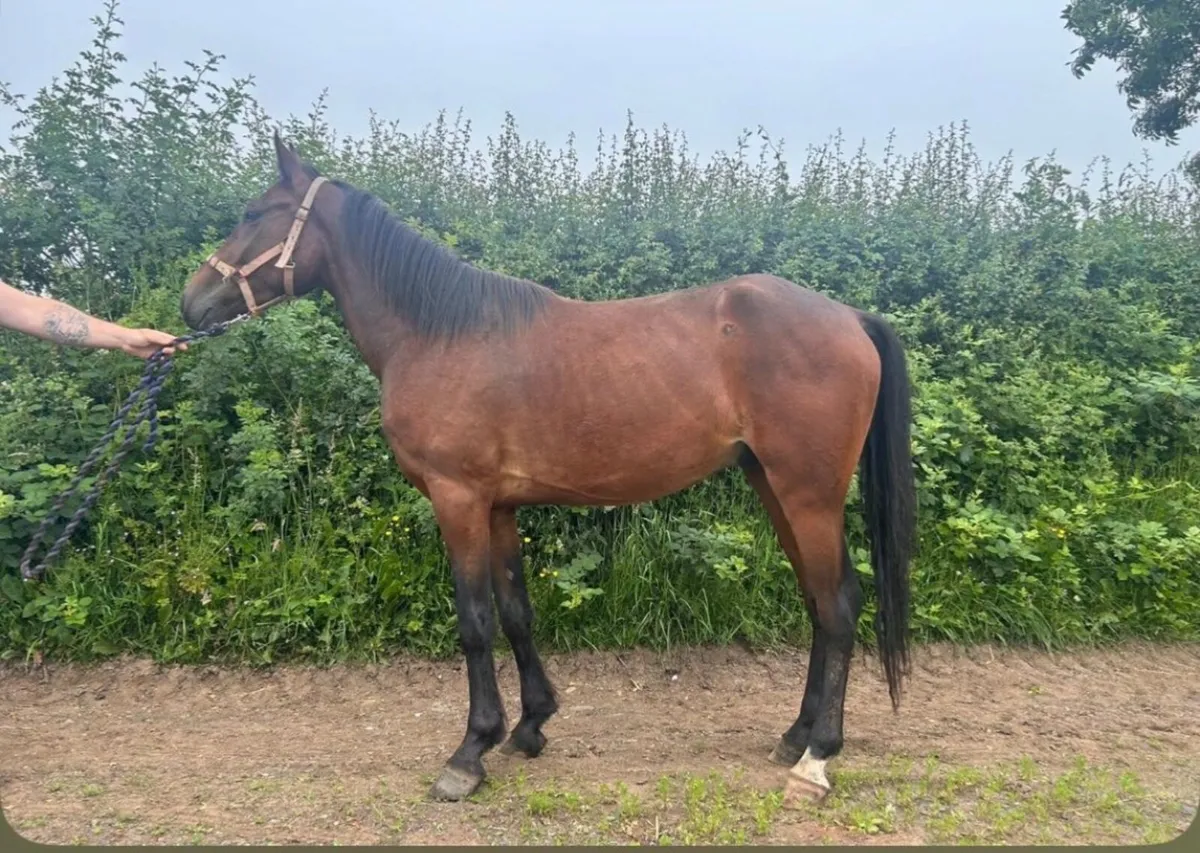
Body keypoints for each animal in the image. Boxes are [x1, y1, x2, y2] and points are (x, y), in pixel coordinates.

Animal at [180, 132, 917, 806]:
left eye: (252, 213)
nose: (191, 304)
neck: (440, 332)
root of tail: (848, 316)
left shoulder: (457, 498)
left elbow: (474, 621)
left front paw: (469, 752)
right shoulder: (499, 506)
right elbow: (515, 612)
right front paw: (529, 726)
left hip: (808, 493)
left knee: (839, 604)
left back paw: (818, 756)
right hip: (773, 485)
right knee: (818, 602)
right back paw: (795, 736)